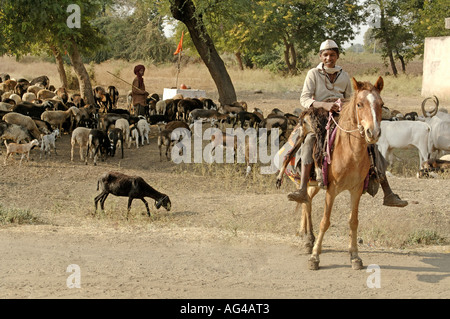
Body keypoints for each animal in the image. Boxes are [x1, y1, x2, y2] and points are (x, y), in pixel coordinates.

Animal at [278, 77, 384, 270]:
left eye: (381, 104)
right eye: (359, 104)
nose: (373, 133)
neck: (350, 152)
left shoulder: (356, 190)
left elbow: (353, 221)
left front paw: (354, 257)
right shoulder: (332, 189)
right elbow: (325, 221)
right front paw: (315, 258)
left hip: (315, 185)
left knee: (307, 200)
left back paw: (308, 237)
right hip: (303, 179)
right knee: (305, 200)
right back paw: (308, 240)